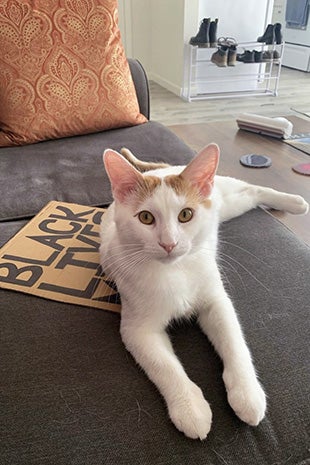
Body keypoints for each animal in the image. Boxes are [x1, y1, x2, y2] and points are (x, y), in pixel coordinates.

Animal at [99, 144, 308, 438]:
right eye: (146, 218)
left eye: (186, 214)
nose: (169, 243)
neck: (176, 270)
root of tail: (158, 169)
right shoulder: (137, 328)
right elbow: (164, 366)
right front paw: (190, 408)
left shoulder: (216, 300)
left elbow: (234, 341)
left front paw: (247, 393)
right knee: (250, 195)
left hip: (222, 198)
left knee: (250, 189)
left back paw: (295, 202)